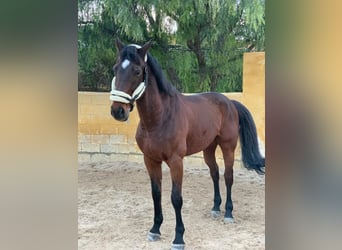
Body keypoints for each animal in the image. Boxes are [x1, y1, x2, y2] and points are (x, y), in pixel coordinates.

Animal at [109, 39, 264, 250]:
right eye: (115, 68)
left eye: (137, 70)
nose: (118, 111)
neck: (159, 118)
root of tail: (229, 102)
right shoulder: (150, 160)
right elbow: (156, 194)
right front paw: (155, 229)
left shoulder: (176, 162)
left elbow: (176, 198)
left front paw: (178, 238)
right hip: (208, 149)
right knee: (214, 174)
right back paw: (216, 207)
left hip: (228, 147)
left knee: (228, 176)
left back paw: (228, 213)